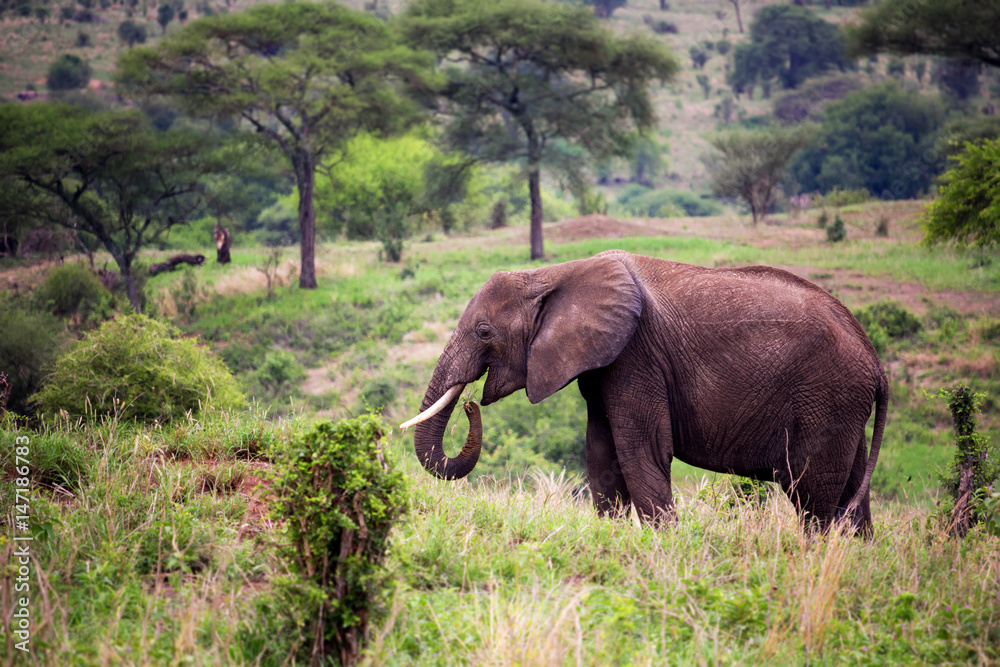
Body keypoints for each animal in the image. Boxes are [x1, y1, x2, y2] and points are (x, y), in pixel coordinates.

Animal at [401, 250, 887, 534]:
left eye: (484, 332)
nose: (469, 402)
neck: (553, 273)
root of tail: (875, 360)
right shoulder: (603, 361)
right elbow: (600, 451)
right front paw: (612, 538)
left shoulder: (637, 355)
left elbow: (641, 450)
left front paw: (666, 548)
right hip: (841, 406)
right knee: (849, 495)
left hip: (826, 398)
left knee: (813, 496)